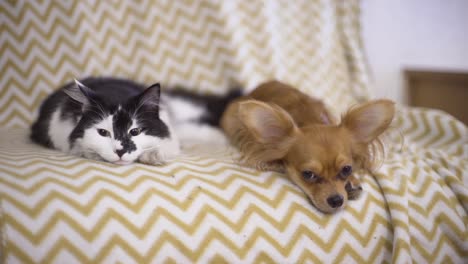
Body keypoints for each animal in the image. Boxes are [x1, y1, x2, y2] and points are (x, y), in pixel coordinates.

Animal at [31, 76, 241, 166]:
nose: (120, 151)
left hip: (184, 106)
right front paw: (91, 152)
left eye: (135, 132)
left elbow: (165, 146)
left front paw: (153, 156)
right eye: (103, 132)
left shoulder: (169, 134)